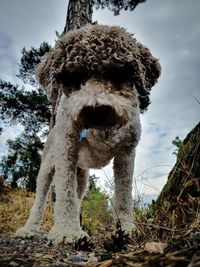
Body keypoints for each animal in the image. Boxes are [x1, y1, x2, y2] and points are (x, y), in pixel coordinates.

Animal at [16, 24, 161, 245]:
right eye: (74, 77)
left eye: (118, 74)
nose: (96, 109)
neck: (99, 129)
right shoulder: (67, 148)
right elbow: (65, 193)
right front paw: (67, 231)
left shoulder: (127, 152)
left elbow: (124, 195)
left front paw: (127, 228)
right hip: (47, 167)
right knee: (41, 198)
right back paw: (29, 229)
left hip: (82, 176)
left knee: (78, 195)